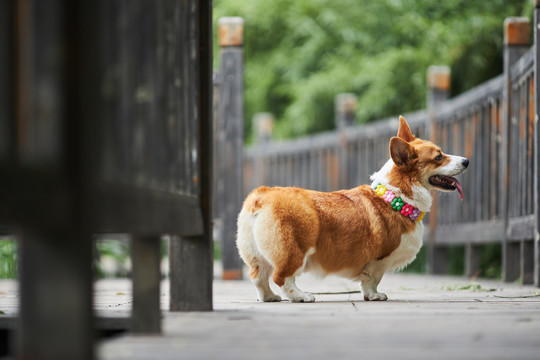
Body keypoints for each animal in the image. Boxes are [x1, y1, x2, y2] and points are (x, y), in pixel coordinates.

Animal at [236, 116, 468, 302]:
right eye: (438, 157)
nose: (466, 160)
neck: (396, 197)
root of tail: (261, 198)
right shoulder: (379, 259)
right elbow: (372, 280)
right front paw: (374, 296)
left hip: (257, 256)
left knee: (259, 277)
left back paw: (269, 298)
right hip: (293, 250)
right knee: (282, 278)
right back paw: (302, 296)